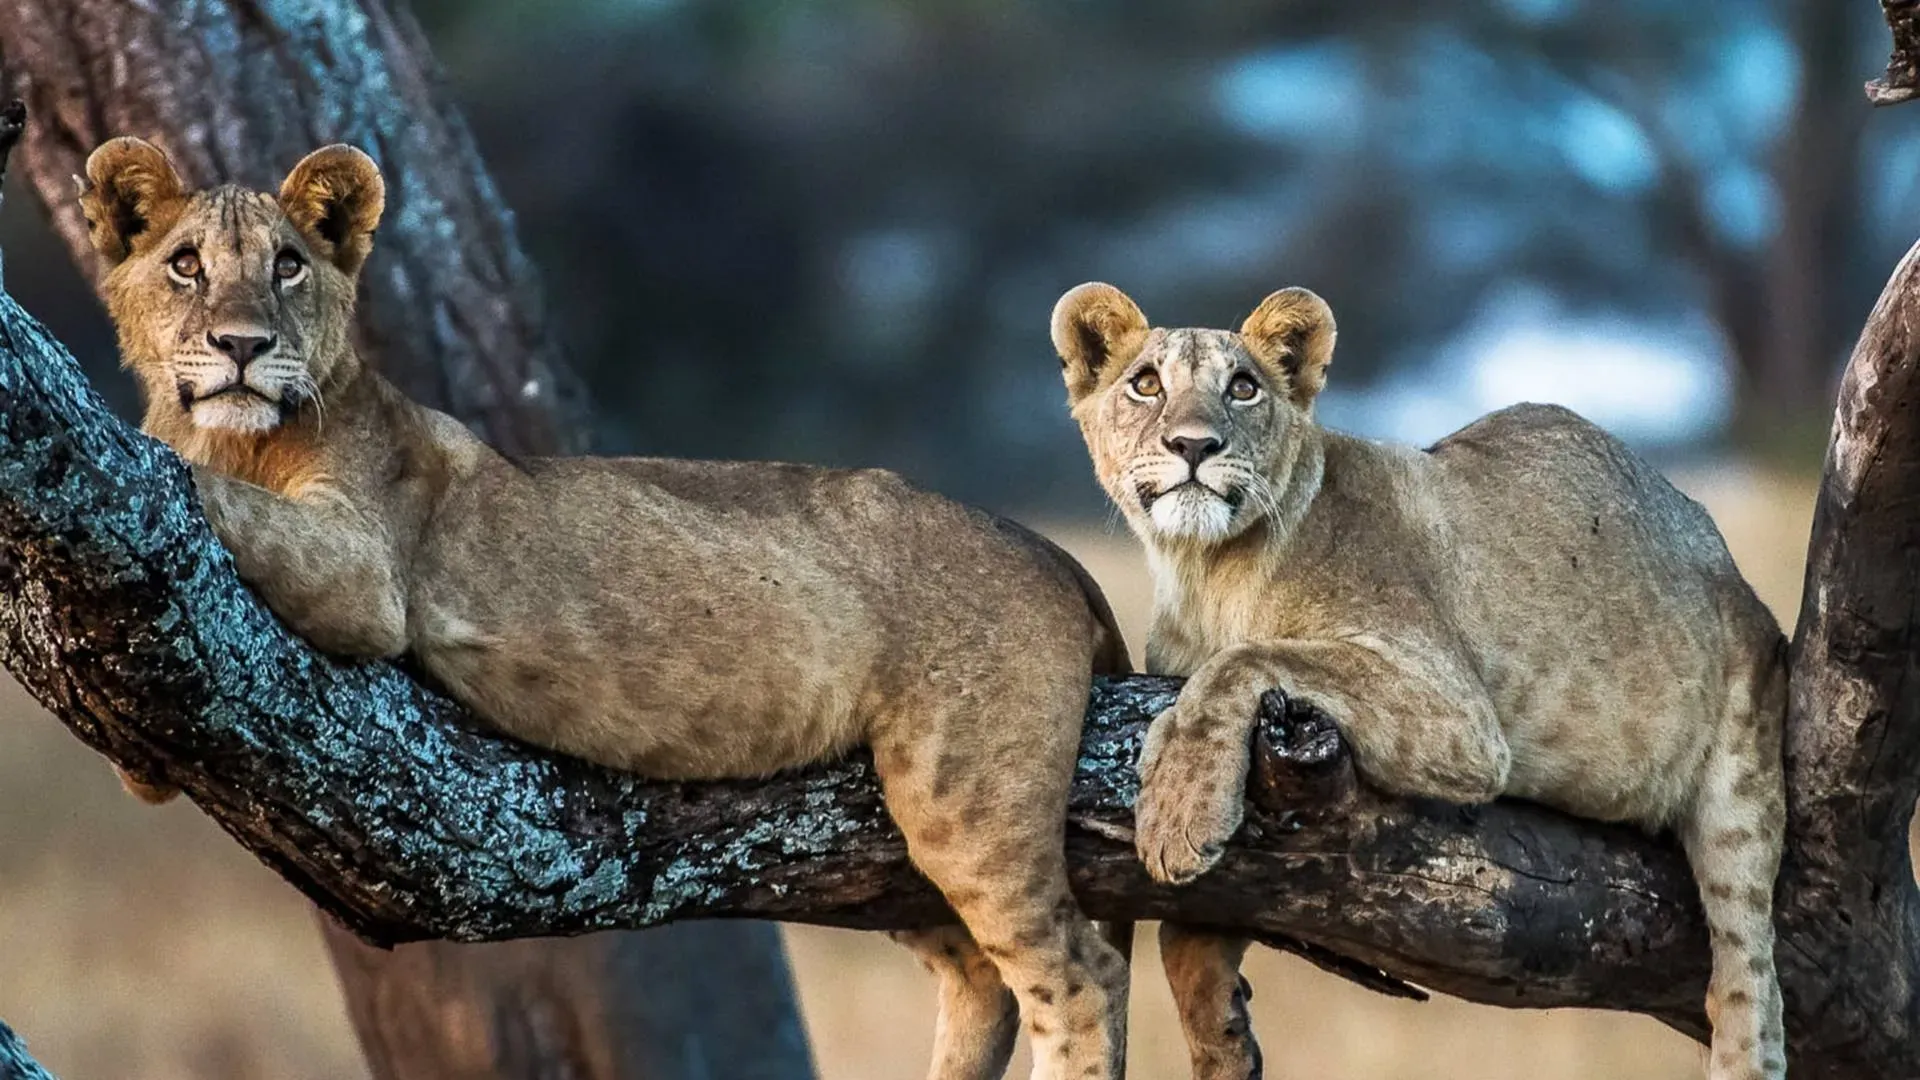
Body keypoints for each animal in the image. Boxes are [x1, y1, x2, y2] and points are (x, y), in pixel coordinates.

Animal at [78, 135, 1134, 1080]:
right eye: (184, 265)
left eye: (288, 266)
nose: (241, 347)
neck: (238, 435)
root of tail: (1042, 545)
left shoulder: (365, 571)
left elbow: (199, 487)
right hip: (889, 845)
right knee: (983, 978)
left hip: (965, 796)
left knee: (1080, 972)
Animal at [1049, 282, 1788, 1080]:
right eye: (1145, 384)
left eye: (1242, 387)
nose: (1193, 446)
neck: (1203, 570)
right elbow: (1191, 929)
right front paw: (1223, 1042)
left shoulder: (1454, 711)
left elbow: (1243, 661)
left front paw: (1177, 808)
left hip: (1743, 789)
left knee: (1750, 988)